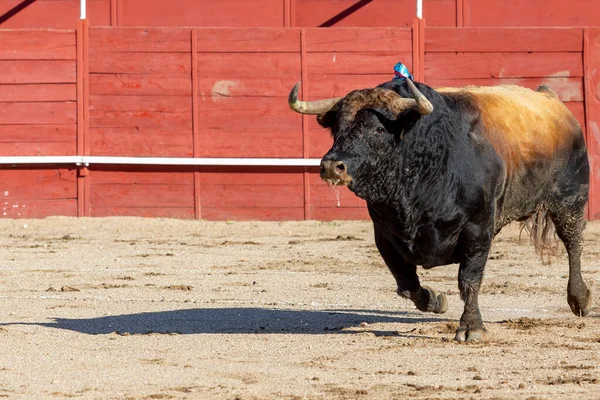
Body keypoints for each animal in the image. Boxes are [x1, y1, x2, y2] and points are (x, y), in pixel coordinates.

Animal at [288, 79, 592, 342]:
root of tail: (553, 102)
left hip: (570, 199)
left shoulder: (478, 228)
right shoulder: (384, 234)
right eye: (336, 128)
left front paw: (471, 328)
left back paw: (580, 299)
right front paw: (435, 300)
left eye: (378, 129)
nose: (332, 166)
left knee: (573, 243)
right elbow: (406, 281)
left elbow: (469, 279)